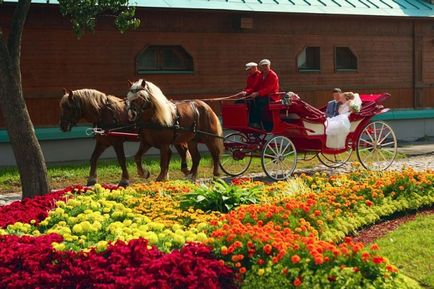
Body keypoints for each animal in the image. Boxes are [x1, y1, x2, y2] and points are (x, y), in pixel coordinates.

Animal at [58, 88, 189, 186]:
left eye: (68, 107)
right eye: (62, 106)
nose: (63, 126)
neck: (104, 113)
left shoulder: (117, 142)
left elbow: (121, 160)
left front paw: (124, 180)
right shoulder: (103, 142)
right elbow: (93, 158)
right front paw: (92, 179)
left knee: (181, 151)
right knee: (172, 152)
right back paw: (168, 175)